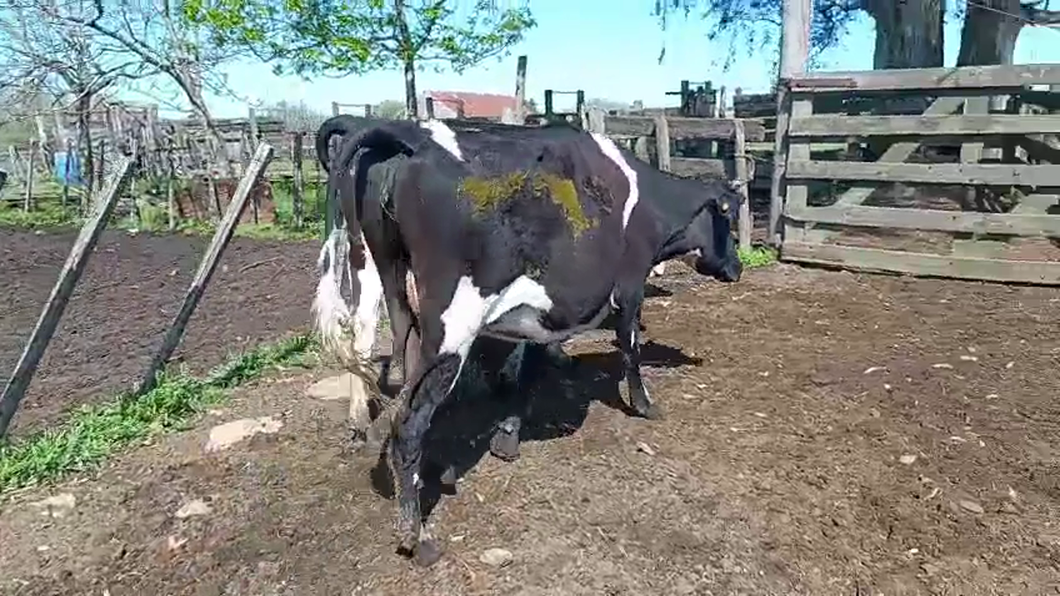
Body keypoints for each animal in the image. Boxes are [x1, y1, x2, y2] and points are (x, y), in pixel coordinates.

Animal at [313, 117, 743, 566]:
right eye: (730, 219)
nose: (737, 268)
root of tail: (408, 134)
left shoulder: (544, 311)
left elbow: (527, 370)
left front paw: (508, 432)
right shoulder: (629, 287)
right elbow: (630, 348)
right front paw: (644, 405)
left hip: (395, 302)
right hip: (452, 326)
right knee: (408, 424)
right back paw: (418, 537)